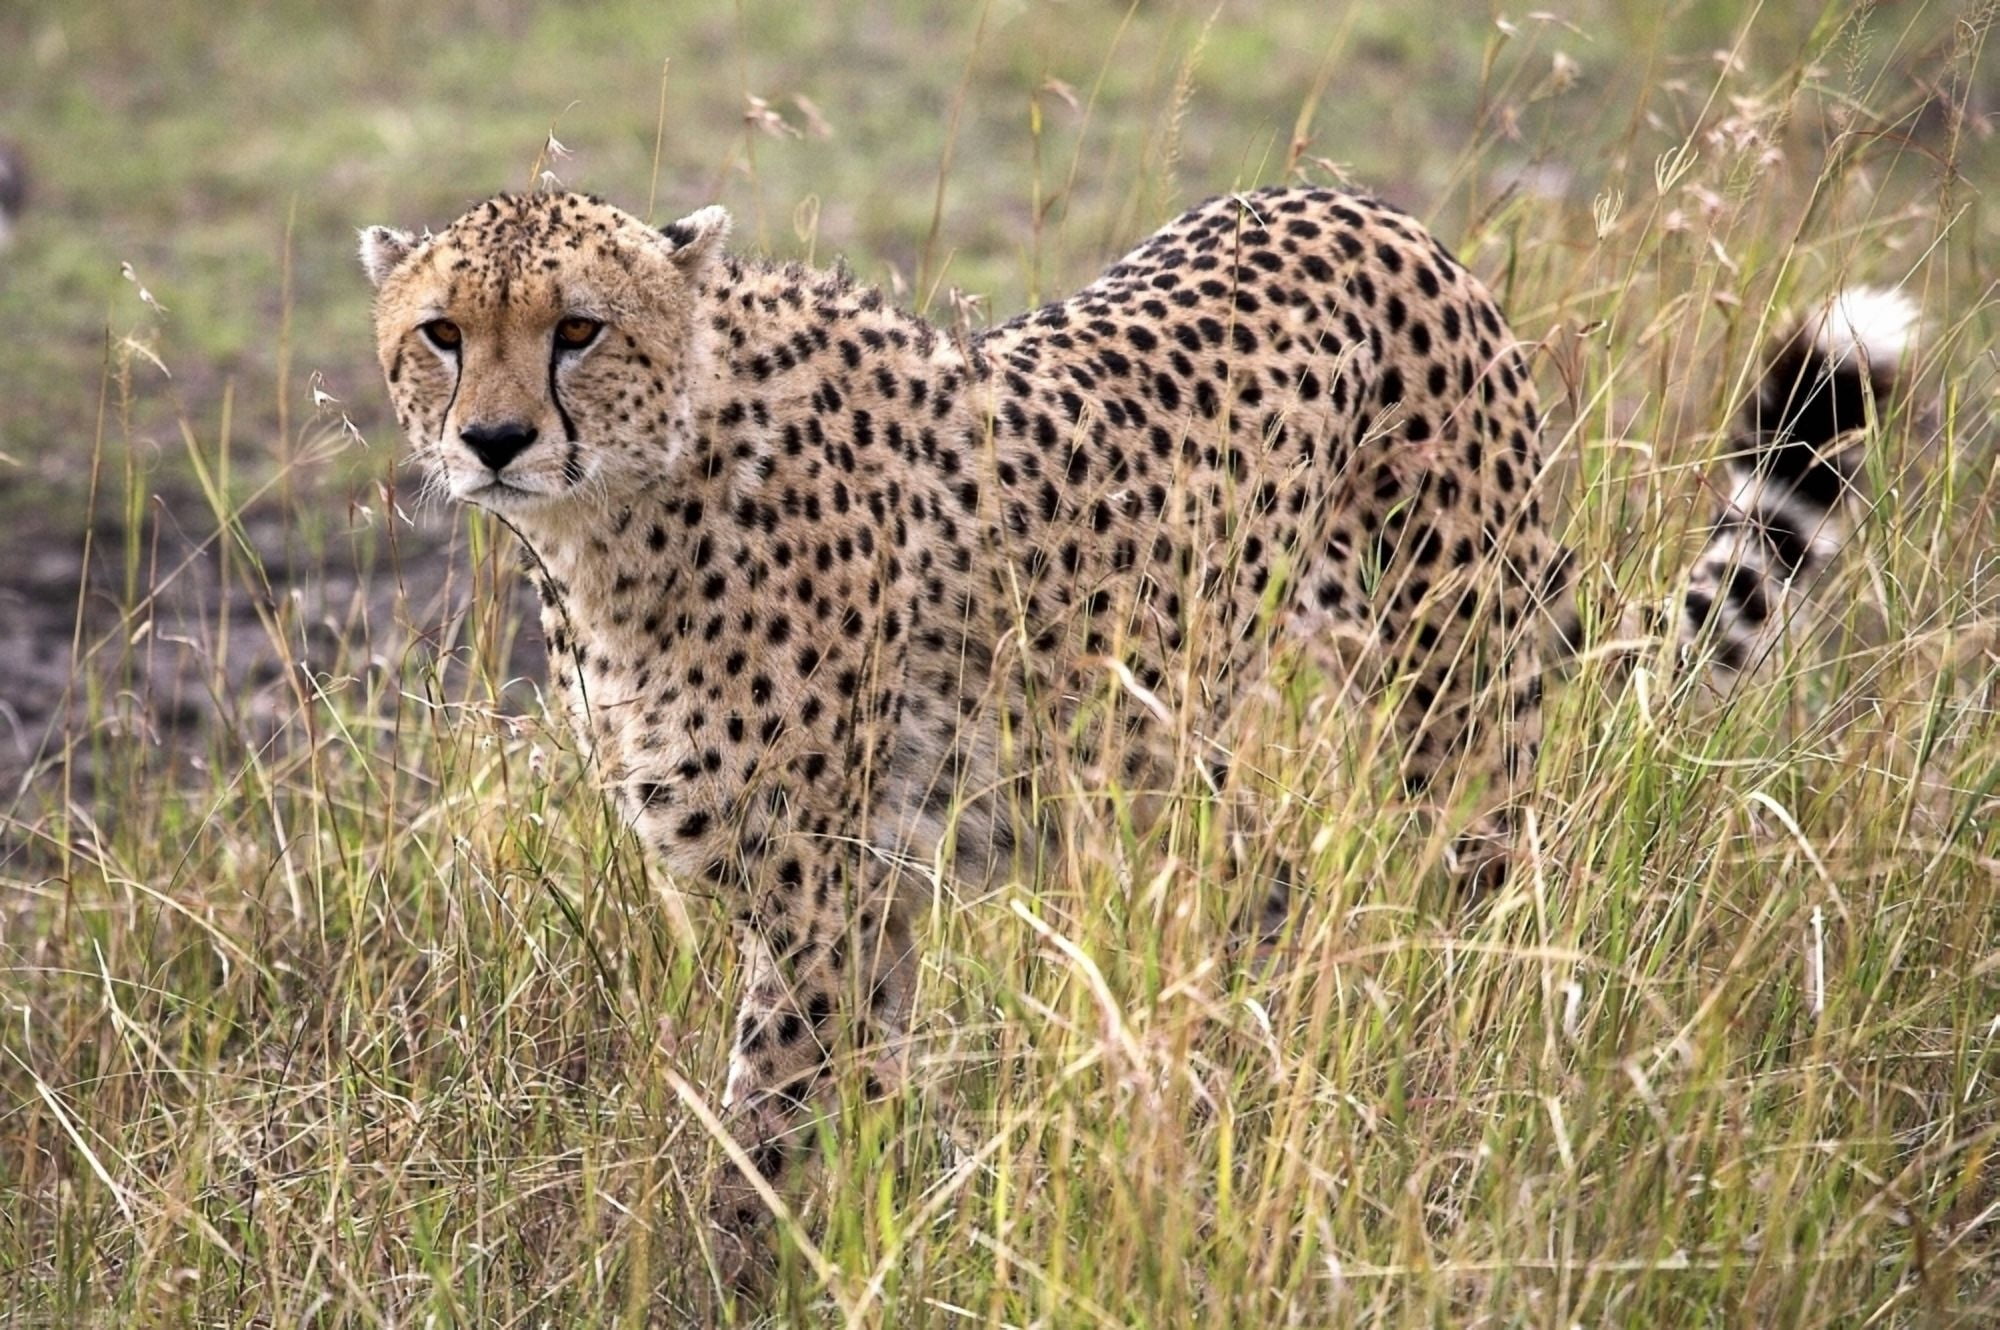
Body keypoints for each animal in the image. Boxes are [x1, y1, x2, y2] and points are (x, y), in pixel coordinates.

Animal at [359, 185, 1917, 1283]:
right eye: (443, 335)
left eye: (578, 327)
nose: (492, 440)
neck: (625, 512)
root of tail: (1374, 209)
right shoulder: (867, 890)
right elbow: (854, 1099)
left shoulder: (819, 893)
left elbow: (769, 1130)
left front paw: (747, 1277)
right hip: (1158, 748)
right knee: (1269, 883)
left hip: (1451, 701)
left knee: (1484, 904)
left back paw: (1446, 1094)